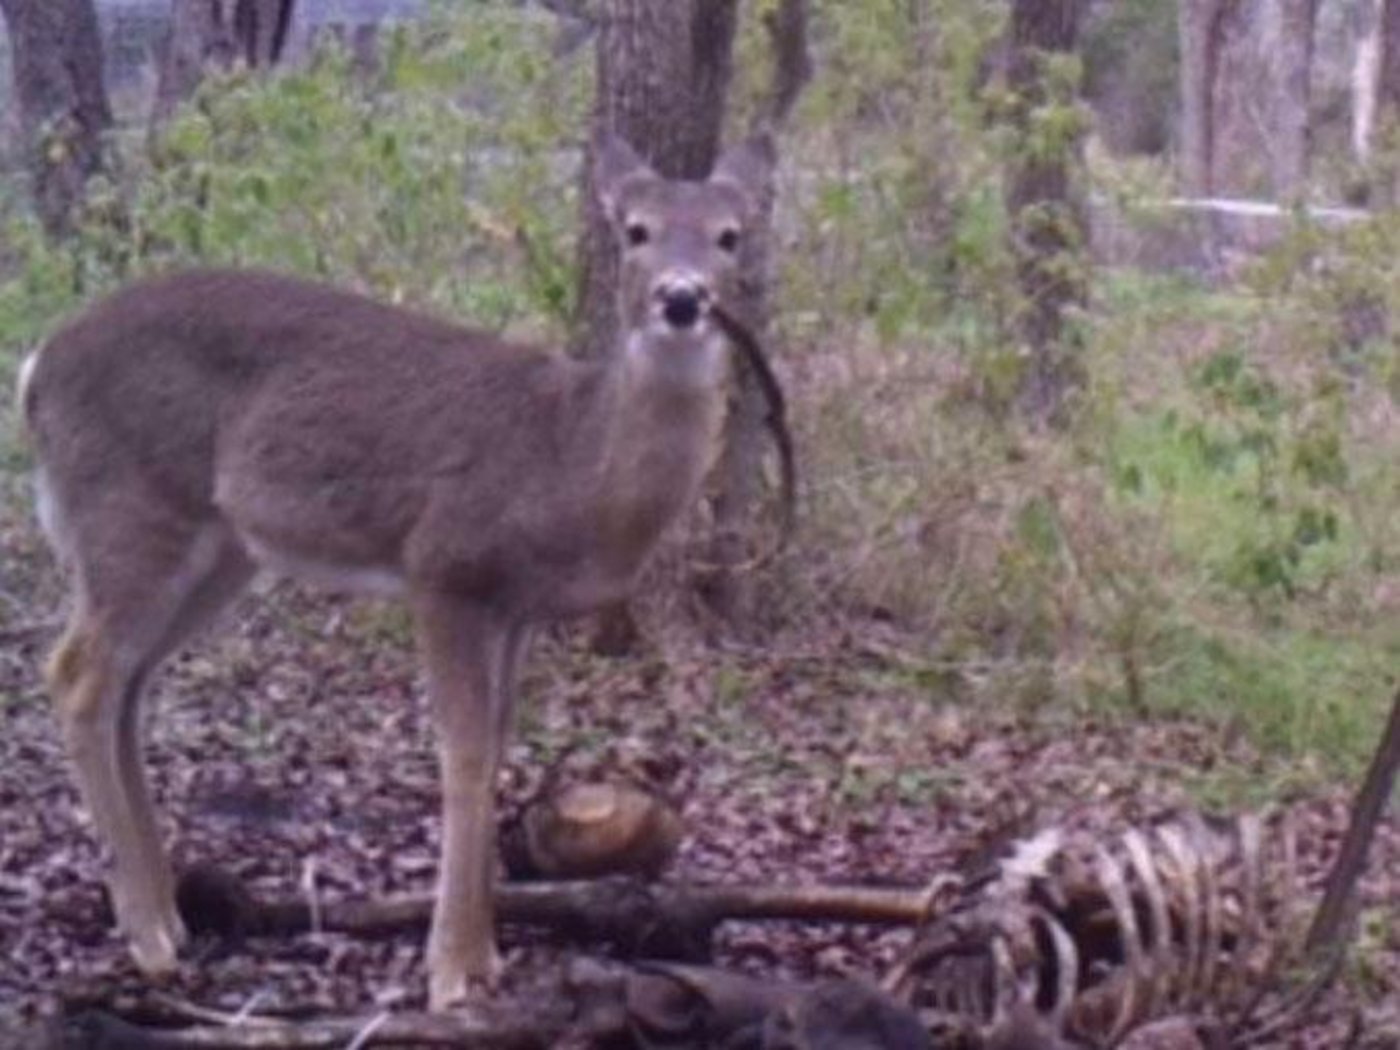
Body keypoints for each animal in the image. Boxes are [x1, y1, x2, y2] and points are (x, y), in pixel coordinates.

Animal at [18, 134, 774, 1010]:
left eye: (729, 236)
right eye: (636, 230)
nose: (682, 299)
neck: (570, 464)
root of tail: (35, 368)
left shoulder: (517, 609)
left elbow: (500, 744)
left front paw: (486, 958)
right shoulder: (443, 566)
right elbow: (465, 753)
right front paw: (452, 973)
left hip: (219, 549)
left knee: (129, 686)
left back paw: (171, 917)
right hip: (130, 508)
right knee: (76, 673)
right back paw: (147, 940)